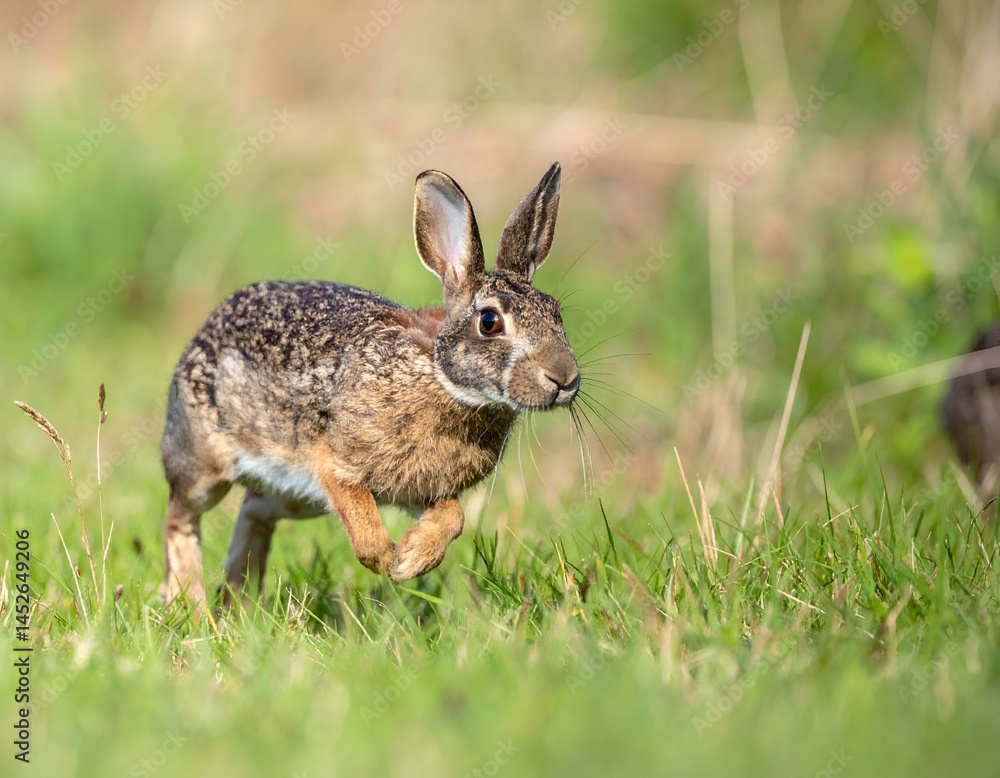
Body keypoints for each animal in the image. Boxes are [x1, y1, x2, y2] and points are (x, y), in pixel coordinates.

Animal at [160, 162, 580, 605]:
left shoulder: (420, 491)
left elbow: (455, 516)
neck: (440, 376)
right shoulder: (331, 461)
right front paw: (391, 562)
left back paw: (239, 600)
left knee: (254, 512)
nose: (565, 379)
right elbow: (360, 518)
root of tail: (203, 333)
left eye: (557, 313)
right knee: (180, 517)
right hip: (209, 462)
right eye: (489, 322)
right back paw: (190, 602)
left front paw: (414, 555)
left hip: (295, 496)